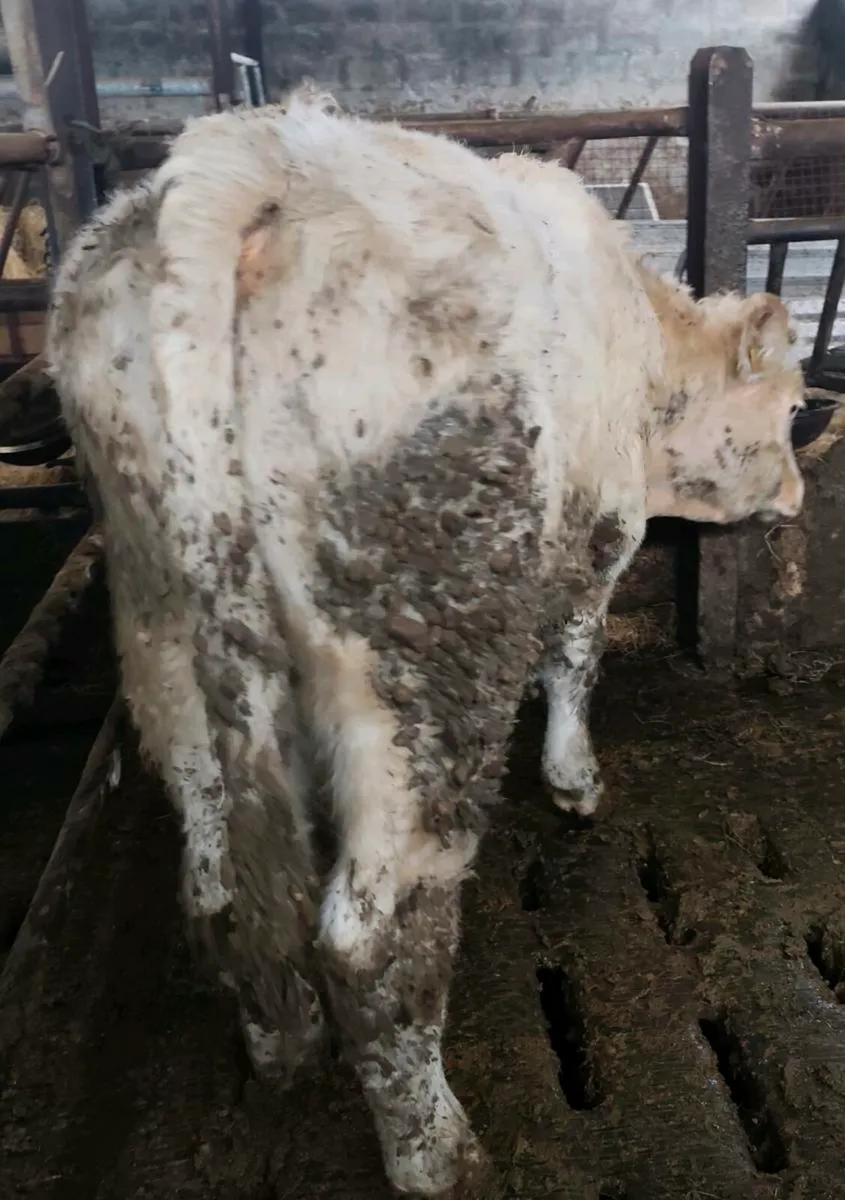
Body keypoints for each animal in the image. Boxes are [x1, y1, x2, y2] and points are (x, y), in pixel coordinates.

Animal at [46, 87, 805, 1197]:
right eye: (788, 407)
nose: (796, 493)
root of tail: (243, 161)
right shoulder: (600, 530)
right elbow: (575, 651)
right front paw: (575, 780)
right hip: (427, 651)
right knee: (373, 937)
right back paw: (436, 1151)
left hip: (158, 617)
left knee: (217, 868)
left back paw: (270, 1038)